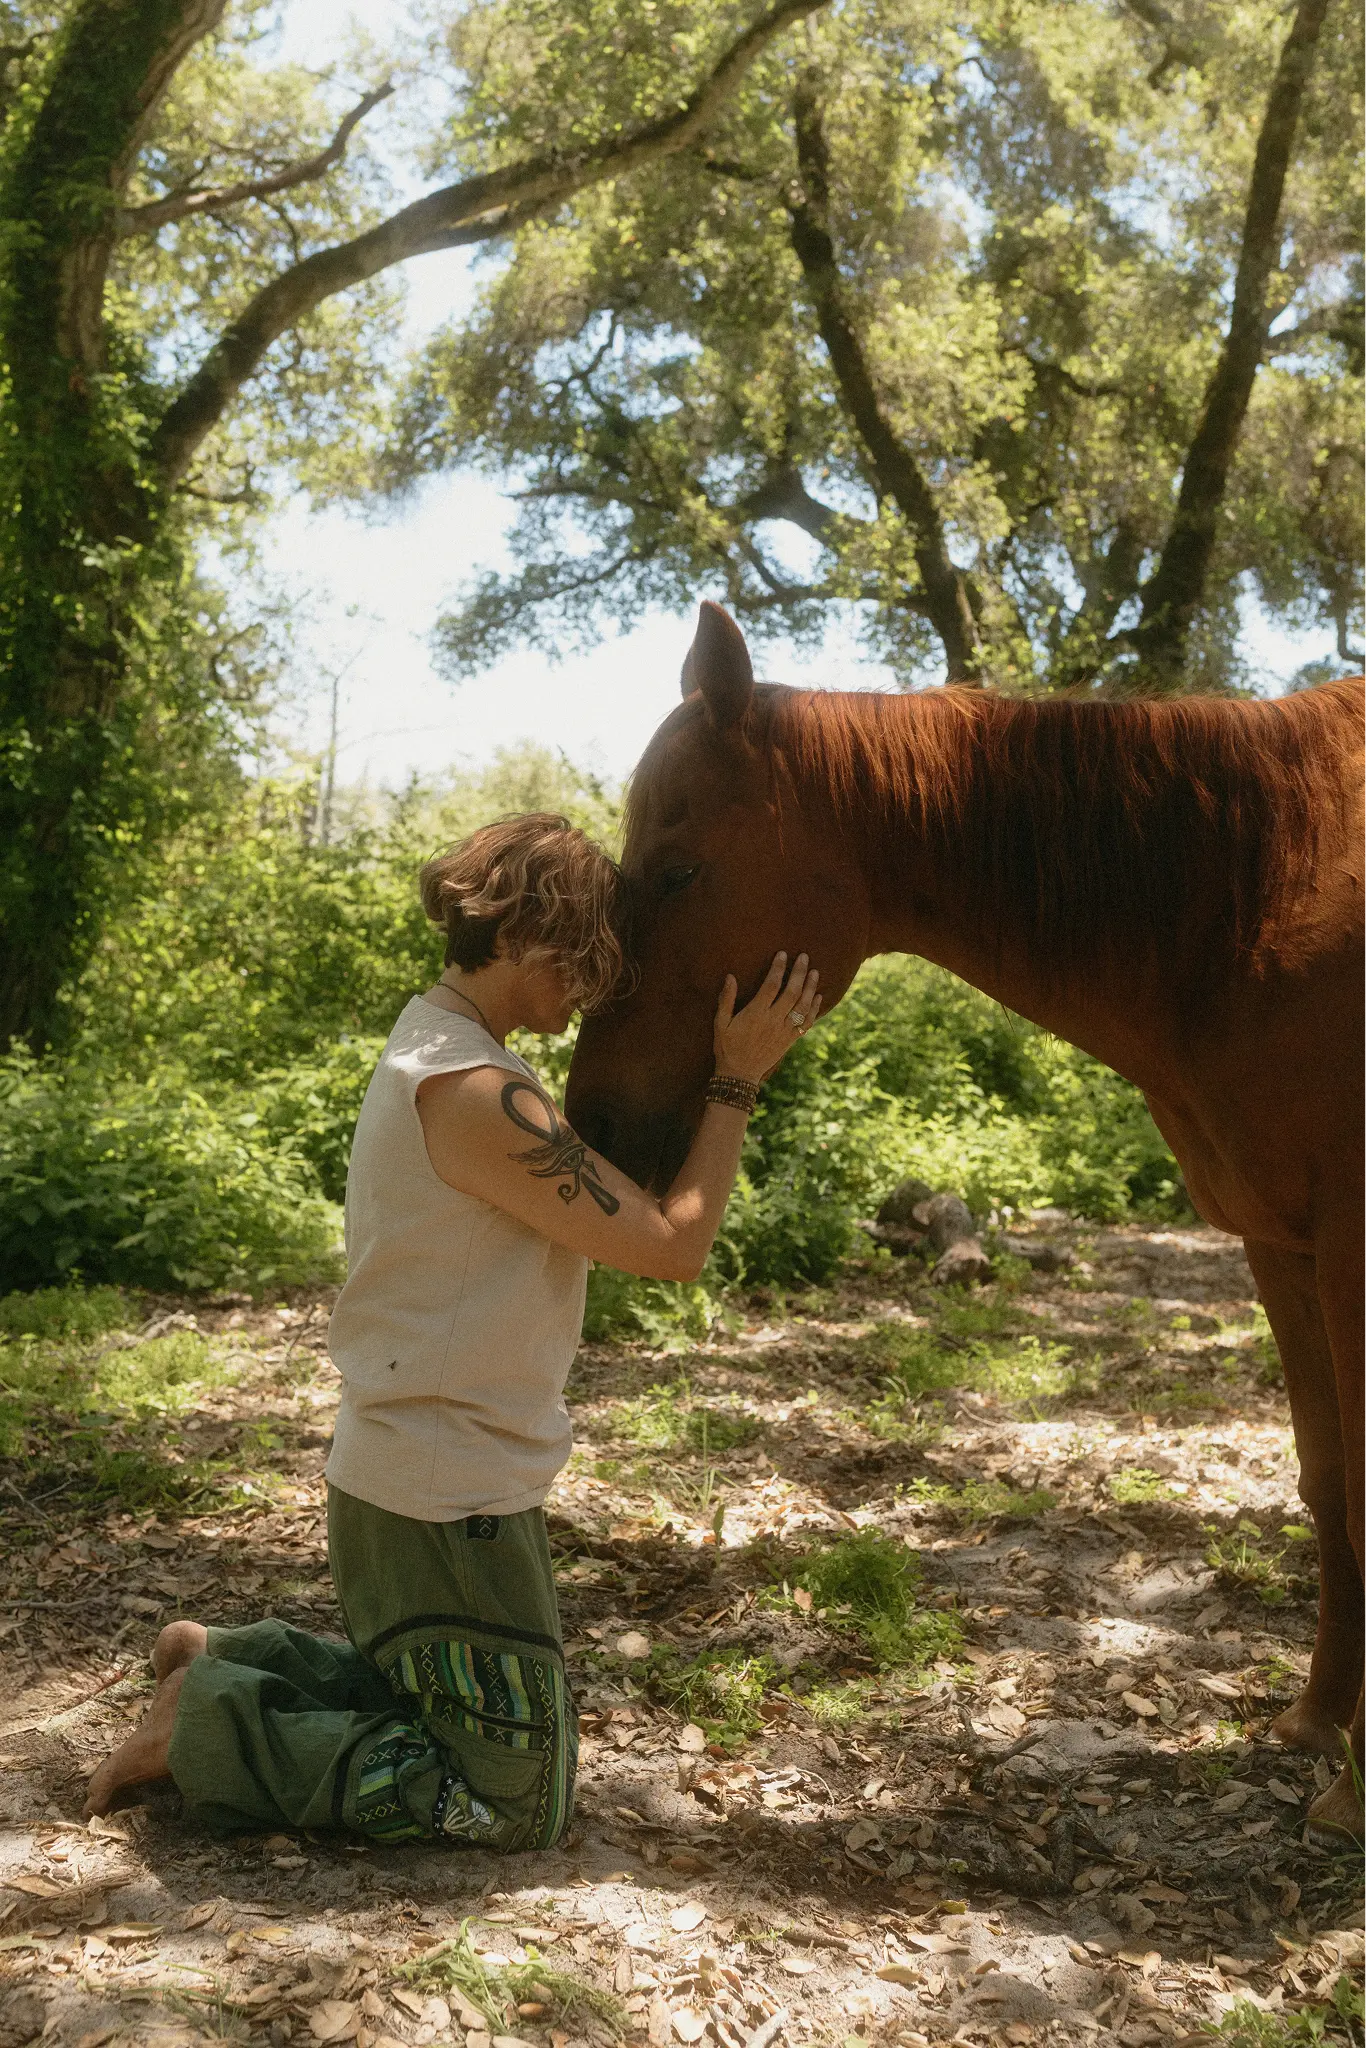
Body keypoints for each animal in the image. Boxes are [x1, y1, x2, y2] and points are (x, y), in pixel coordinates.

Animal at [564, 599, 1366, 1840]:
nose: (588, 1117)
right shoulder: (1281, 1242)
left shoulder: (1348, 1248)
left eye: (678, 869)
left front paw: (1357, 1788)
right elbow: (1328, 1482)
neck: (1271, 888)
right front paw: (1318, 1724)